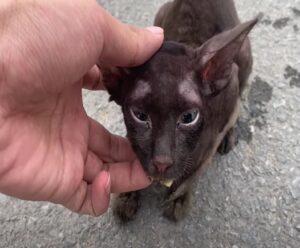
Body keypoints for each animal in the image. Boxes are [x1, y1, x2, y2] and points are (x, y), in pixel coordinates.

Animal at [102, 0, 258, 221]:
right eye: (140, 115)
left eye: (188, 117)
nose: (161, 163)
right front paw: (127, 195)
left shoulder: (229, 94)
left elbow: (196, 168)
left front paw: (178, 197)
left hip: (243, 56)